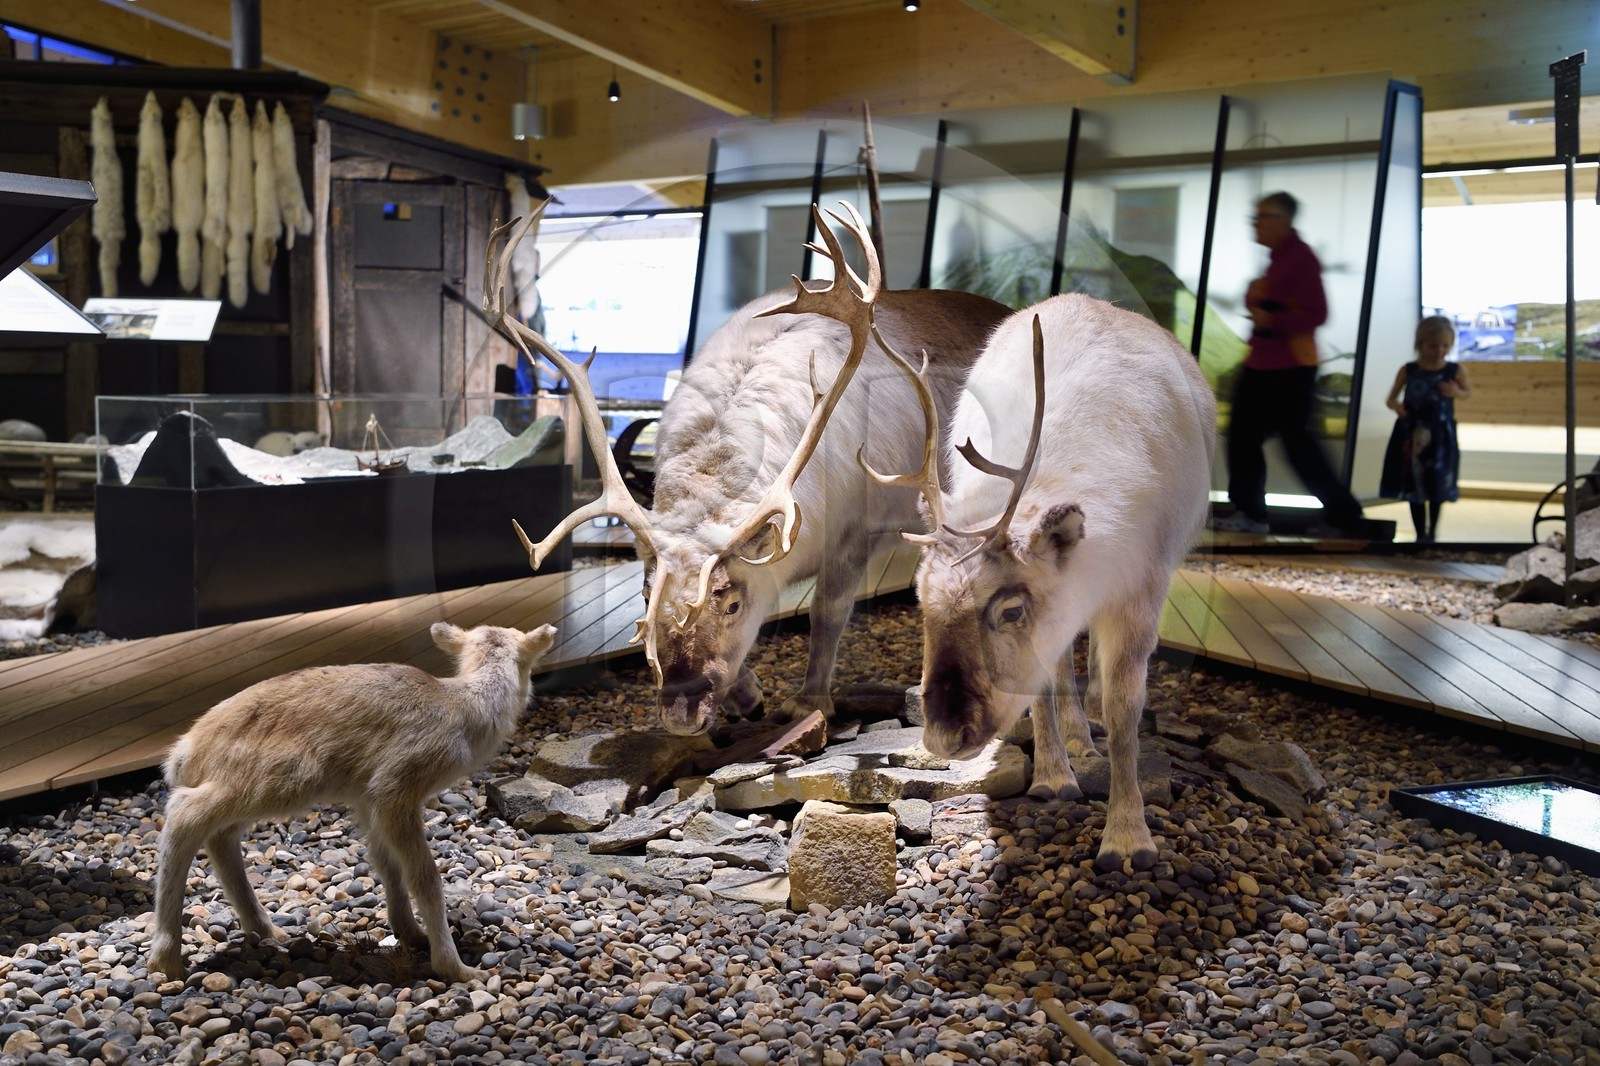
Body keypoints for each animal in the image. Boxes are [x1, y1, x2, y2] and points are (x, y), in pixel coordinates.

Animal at [150, 622, 557, 983]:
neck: (463, 706)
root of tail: (184, 752)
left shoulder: (366, 798)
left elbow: (387, 862)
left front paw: (411, 933)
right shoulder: (395, 787)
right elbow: (424, 875)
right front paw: (455, 967)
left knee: (220, 837)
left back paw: (268, 931)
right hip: (274, 780)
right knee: (184, 815)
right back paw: (165, 958)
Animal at [486, 200, 1011, 736]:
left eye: (731, 603)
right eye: (646, 596)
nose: (681, 714)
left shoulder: (855, 534)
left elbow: (826, 612)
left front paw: (808, 701)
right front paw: (747, 696)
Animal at [866, 296, 1216, 872]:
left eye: (1011, 610)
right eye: (920, 601)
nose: (943, 736)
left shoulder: (1141, 589)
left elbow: (1124, 712)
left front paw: (1128, 837)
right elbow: (1044, 682)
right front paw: (1054, 777)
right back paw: (1071, 742)